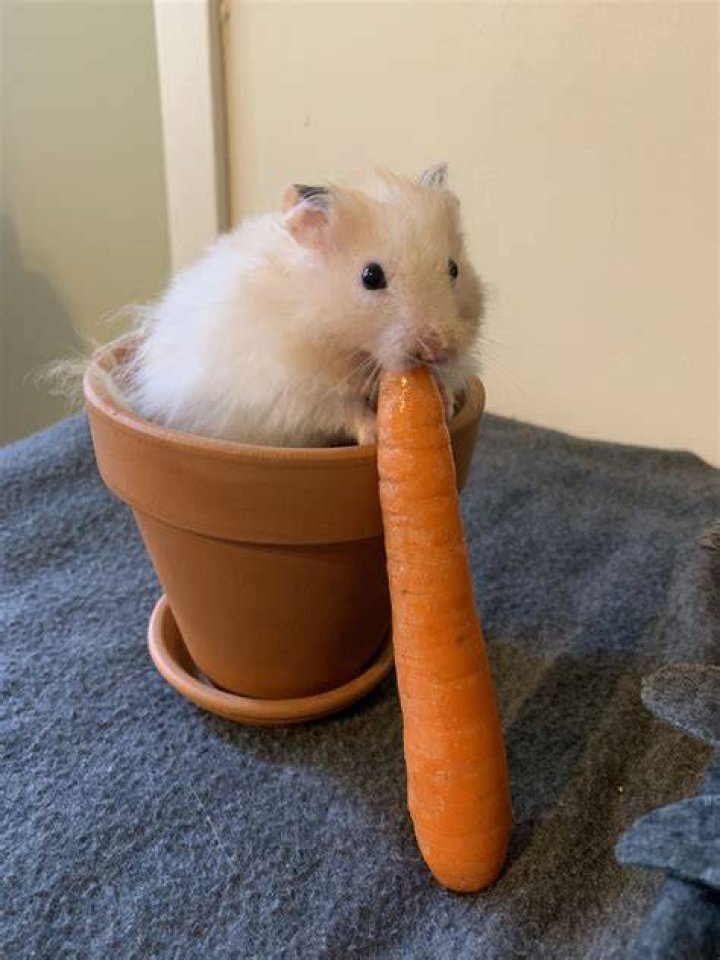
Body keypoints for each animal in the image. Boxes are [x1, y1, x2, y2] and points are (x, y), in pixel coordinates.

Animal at [119, 163, 484, 447]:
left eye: (454, 269)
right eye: (371, 276)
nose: (435, 349)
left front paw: (446, 405)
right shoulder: (295, 395)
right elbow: (343, 411)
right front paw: (375, 434)